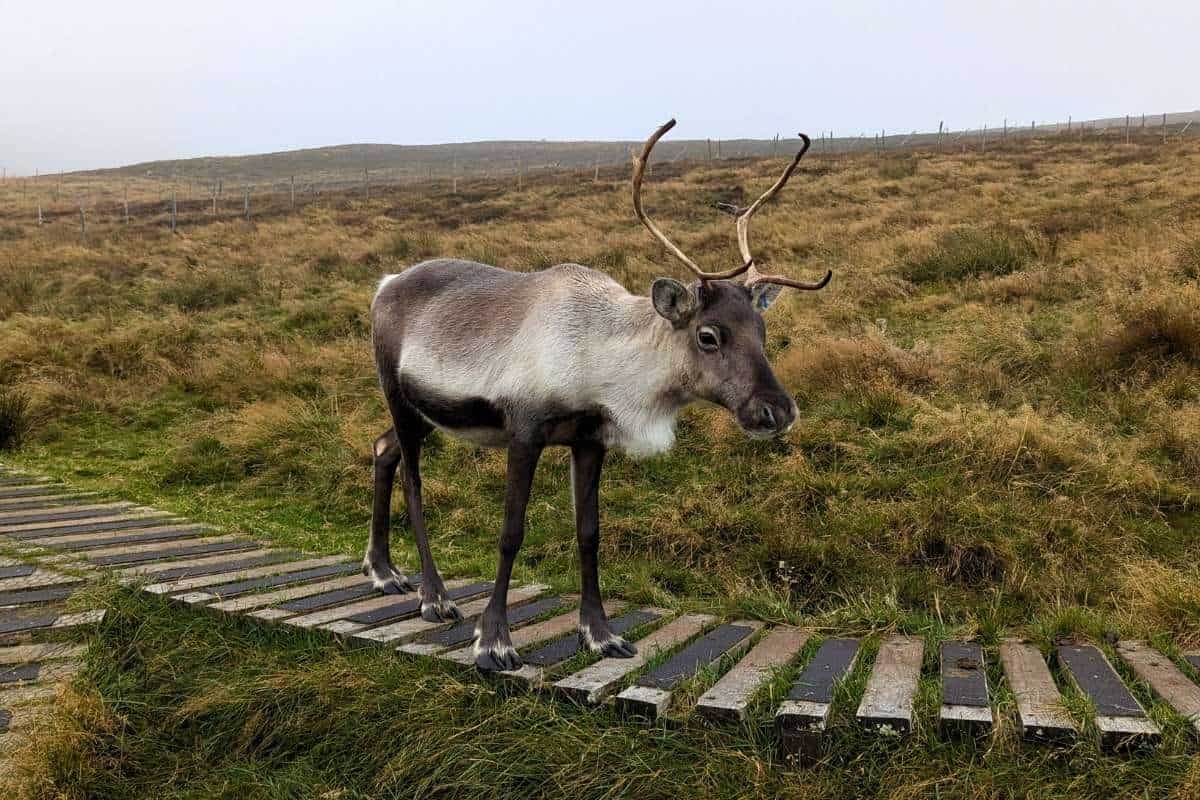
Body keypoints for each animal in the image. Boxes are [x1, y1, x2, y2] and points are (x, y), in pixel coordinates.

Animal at [365, 119, 831, 670]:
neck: (599, 357)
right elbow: (510, 532)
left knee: (383, 448)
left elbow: (589, 533)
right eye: (708, 335)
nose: (777, 410)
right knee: (413, 481)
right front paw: (494, 639)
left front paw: (600, 633)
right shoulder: (526, 432)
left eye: (761, 330)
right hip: (398, 396)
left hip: (422, 412)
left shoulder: (589, 439)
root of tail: (384, 283)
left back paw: (383, 571)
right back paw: (434, 597)